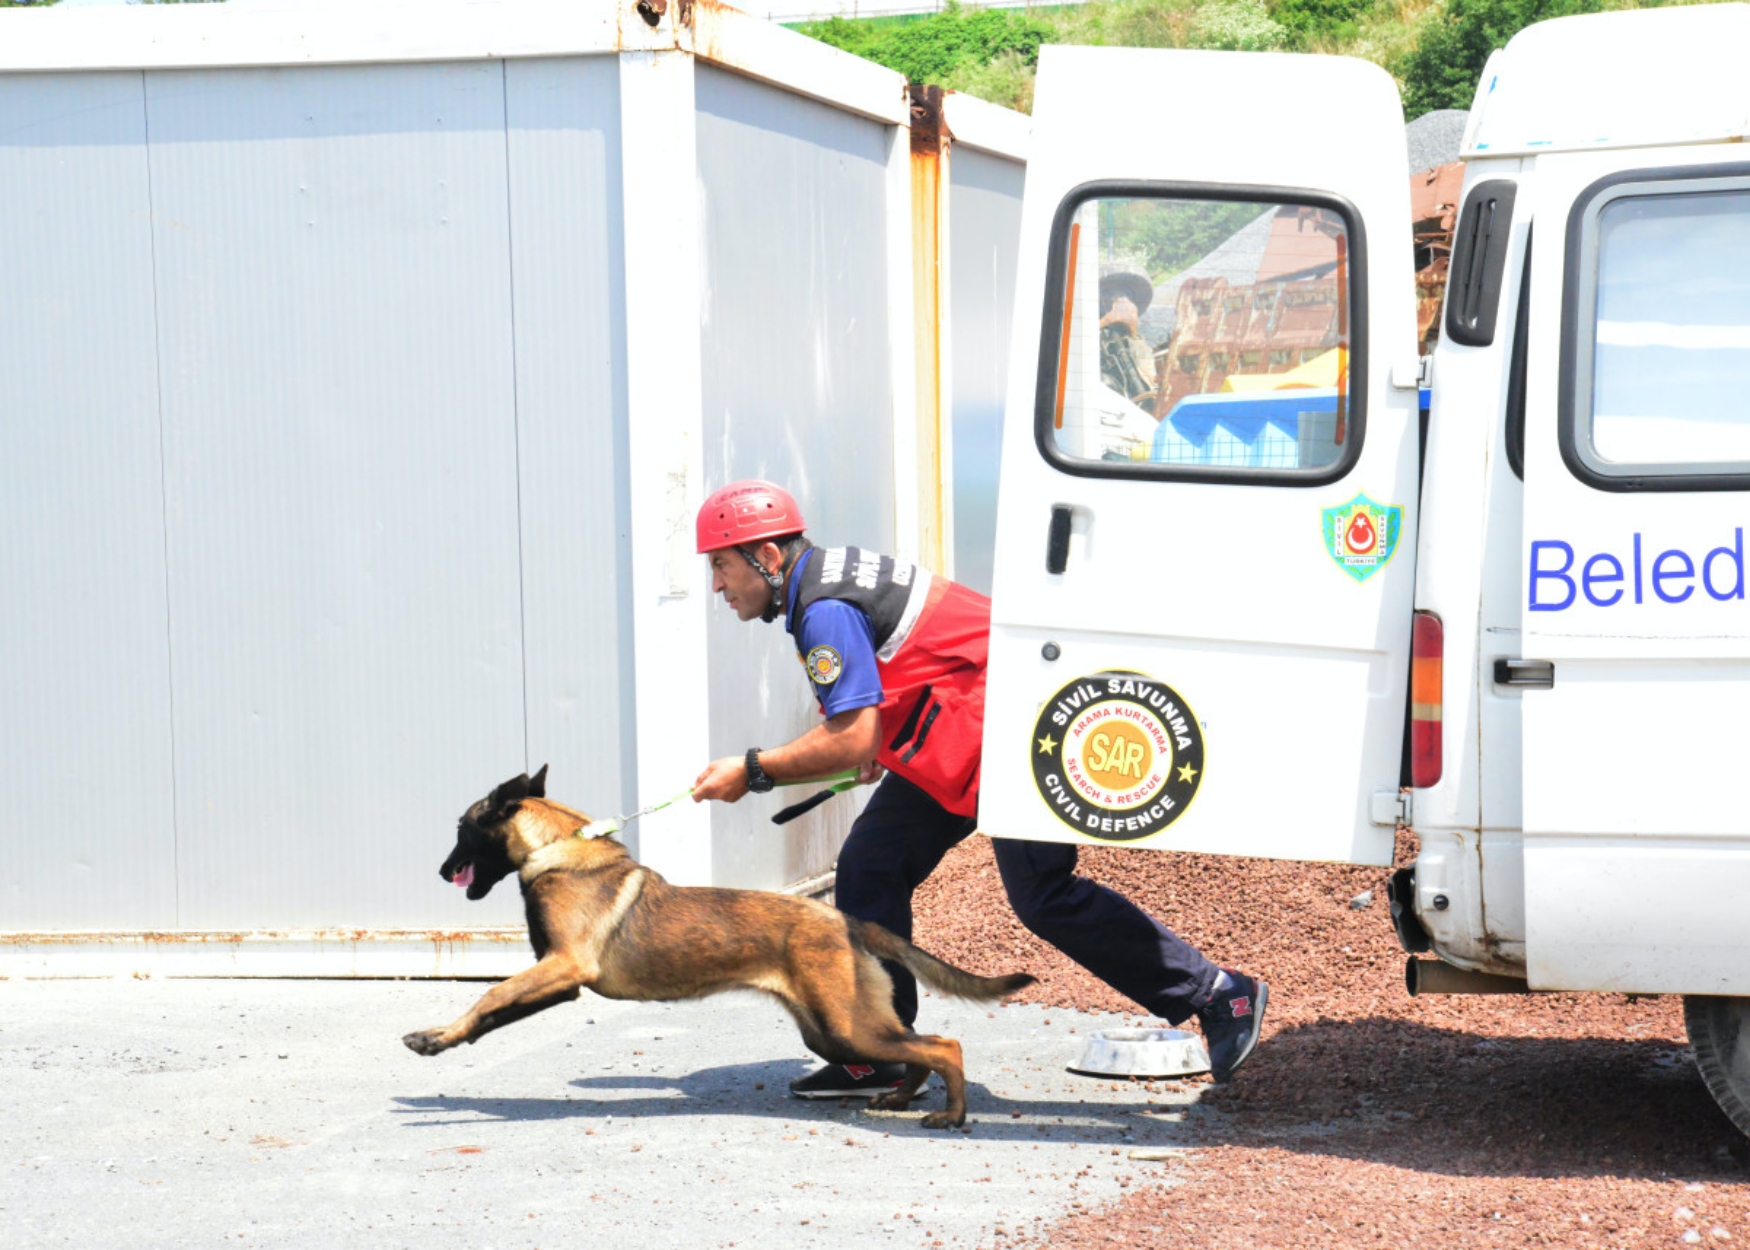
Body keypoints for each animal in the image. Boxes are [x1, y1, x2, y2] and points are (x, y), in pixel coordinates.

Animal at [402, 763, 1029, 1127]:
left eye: (461, 829)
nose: (439, 872)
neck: (556, 847)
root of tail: (846, 921)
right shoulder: (560, 980)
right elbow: (494, 1011)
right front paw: (441, 1040)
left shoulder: (564, 966)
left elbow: (488, 996)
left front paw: (436, 1042)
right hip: (830, 1029)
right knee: (920, 1049)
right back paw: (899, 1101)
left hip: (847, 1025)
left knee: (945, 1046)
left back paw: (951, 1115)